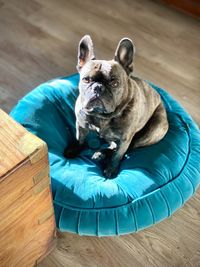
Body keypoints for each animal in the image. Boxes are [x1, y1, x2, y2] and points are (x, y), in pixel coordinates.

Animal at [70, 35, 169, 178]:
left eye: (114, 83)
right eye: (86, 80)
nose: (98, 87)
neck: (102, 116)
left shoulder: (124, 139)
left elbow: (118, 155)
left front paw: (111, 169)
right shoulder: (81, 125)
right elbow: (80, 139)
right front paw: (74, 150)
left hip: (152, 130)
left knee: (125, 148)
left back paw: (102, 154)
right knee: (112, 145)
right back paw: (101, 153)